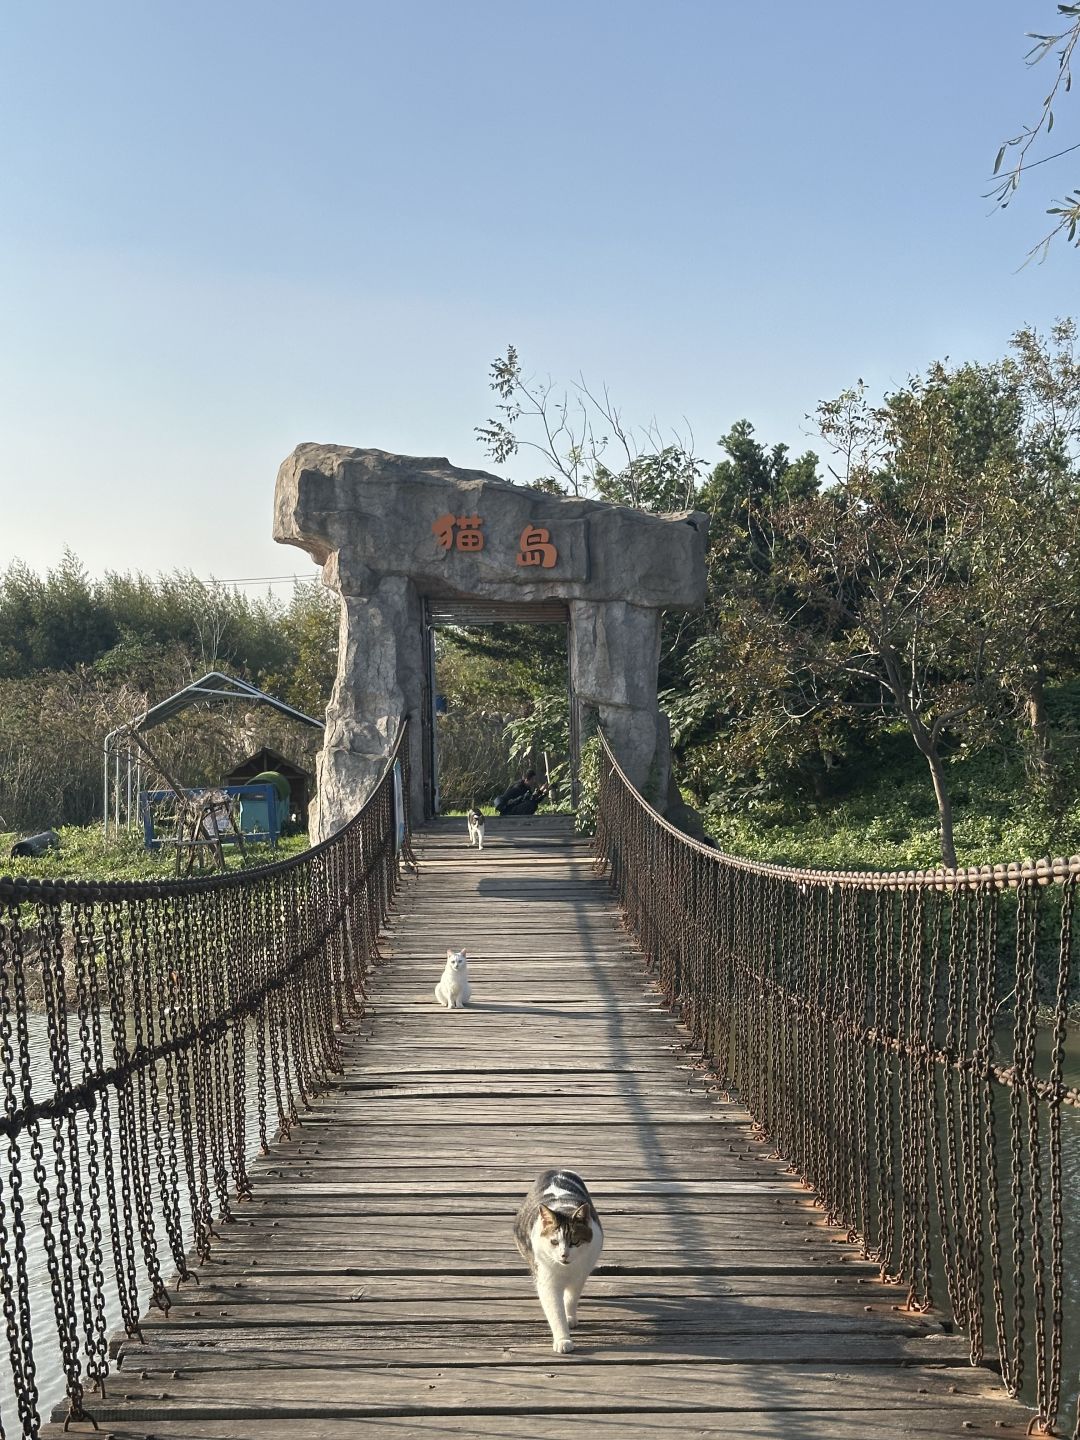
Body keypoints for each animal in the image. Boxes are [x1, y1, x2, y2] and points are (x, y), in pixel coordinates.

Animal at [512, 1163, 604, 1353]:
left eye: (575, 1241)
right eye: (554, 1242)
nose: (564, 1255)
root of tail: (557, 1169)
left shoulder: (580, 1275)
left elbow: (570, 1298)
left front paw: (570, 1317)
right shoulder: (547, 1281)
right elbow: (555, 1311)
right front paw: (563, 1339)